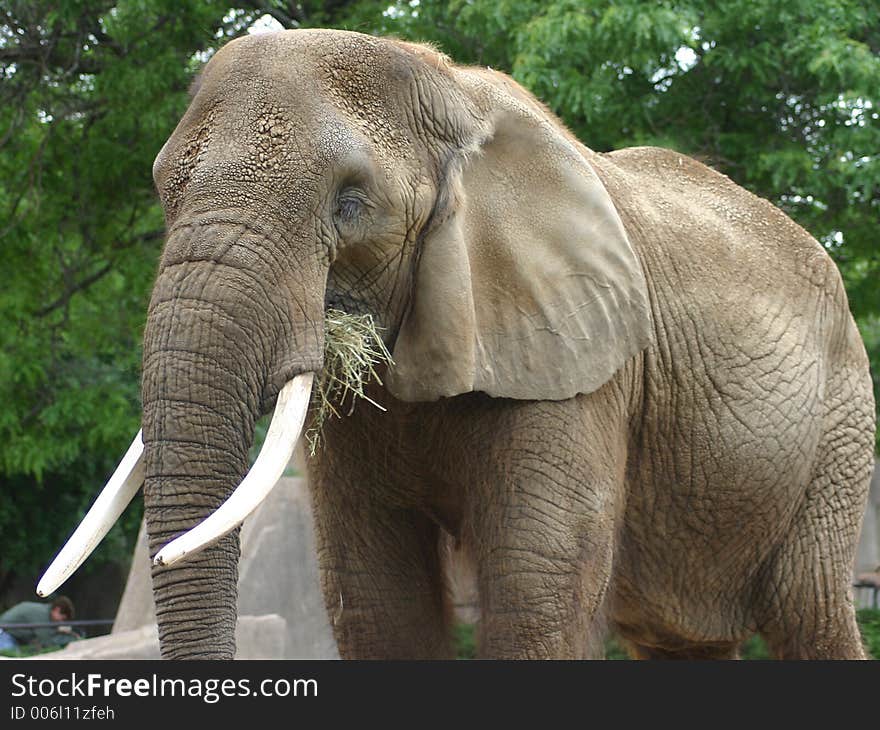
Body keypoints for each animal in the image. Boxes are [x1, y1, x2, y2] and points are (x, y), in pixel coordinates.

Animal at [39, 28, 872, 656]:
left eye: (351, 203)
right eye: (162, 190)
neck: (454, 97)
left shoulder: (581, 360)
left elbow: (536, 584)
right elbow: (377, 595)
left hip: (841, 423)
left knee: (808, 610)